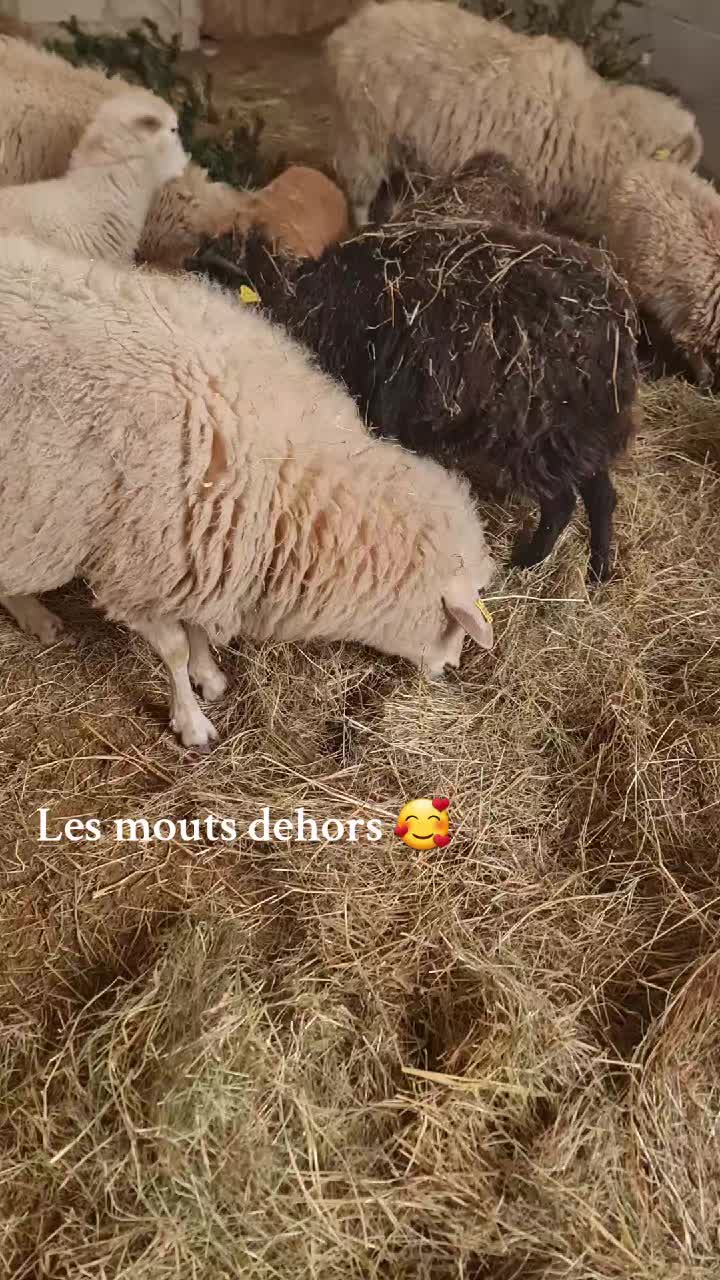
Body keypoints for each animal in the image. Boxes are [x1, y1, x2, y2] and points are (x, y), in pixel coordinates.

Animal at [0, 234, 497, 749]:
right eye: (453, 621)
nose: (451, 667)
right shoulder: (137, 572)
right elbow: (175, 649)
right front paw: (192, 721)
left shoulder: (203, 550)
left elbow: (197, 629)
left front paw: (210, 676)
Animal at [187, 153, 639, 583]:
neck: (310, 307)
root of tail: (619, 328)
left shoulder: (382, 414)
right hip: (579, 437)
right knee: (602, 496)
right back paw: (598, 572)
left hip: (538, 439)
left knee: (562, 503)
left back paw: (527, 563)